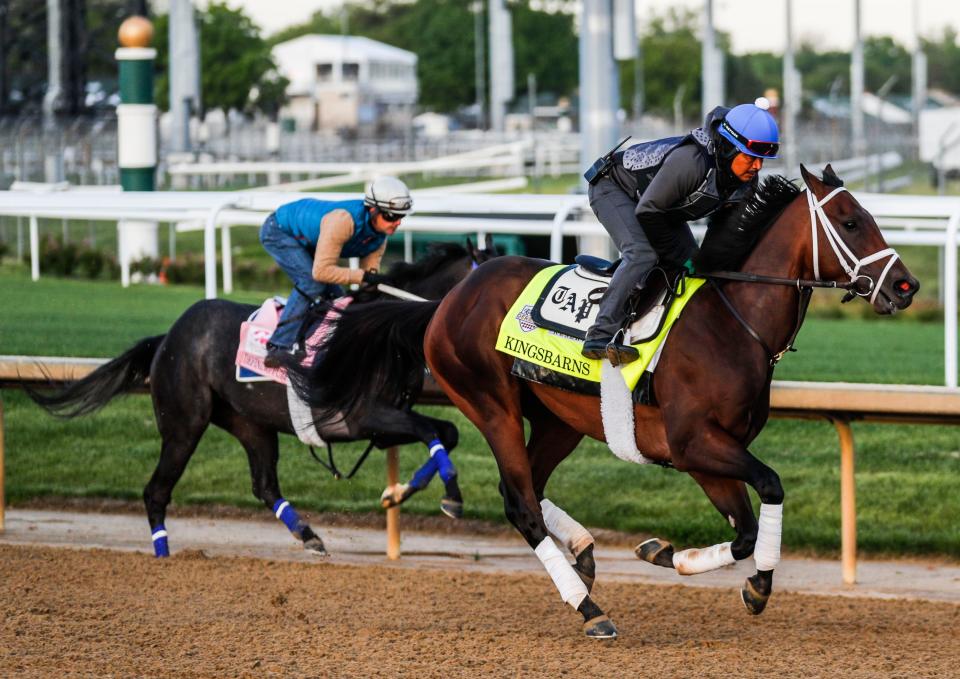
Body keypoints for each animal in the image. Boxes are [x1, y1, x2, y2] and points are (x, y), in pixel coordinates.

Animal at [26, 239, 498, 556]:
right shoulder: (363, 416)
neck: (383, 334)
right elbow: (434, 431)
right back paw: (163, 555)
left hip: (250, 424)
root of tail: (168, 338)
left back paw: (308, 535)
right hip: (184, 423)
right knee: (156, 490)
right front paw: (449, 496)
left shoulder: (383, 426)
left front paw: (399, 493)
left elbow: (445, 432)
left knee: (264, 484)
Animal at [288, 167, 920, 640]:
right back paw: (588, 609)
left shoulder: (705, 454)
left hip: (558, 420)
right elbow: (771, 486)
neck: (733, 321)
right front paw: (757, 585)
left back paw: (585, 553)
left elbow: (743, 531)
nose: (905, 286)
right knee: (519, 501)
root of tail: (446, 300)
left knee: (531, 486)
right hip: (489, 402)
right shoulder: (696, 443)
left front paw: (669, 555)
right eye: (850, 221)